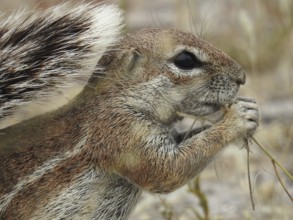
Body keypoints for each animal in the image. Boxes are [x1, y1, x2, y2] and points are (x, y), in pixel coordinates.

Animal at [0, 2, 256, 220]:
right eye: (185, 60)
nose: (242, 77)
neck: (119, 98)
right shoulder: (122, 132)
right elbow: (166, 171)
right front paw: (238, 118)